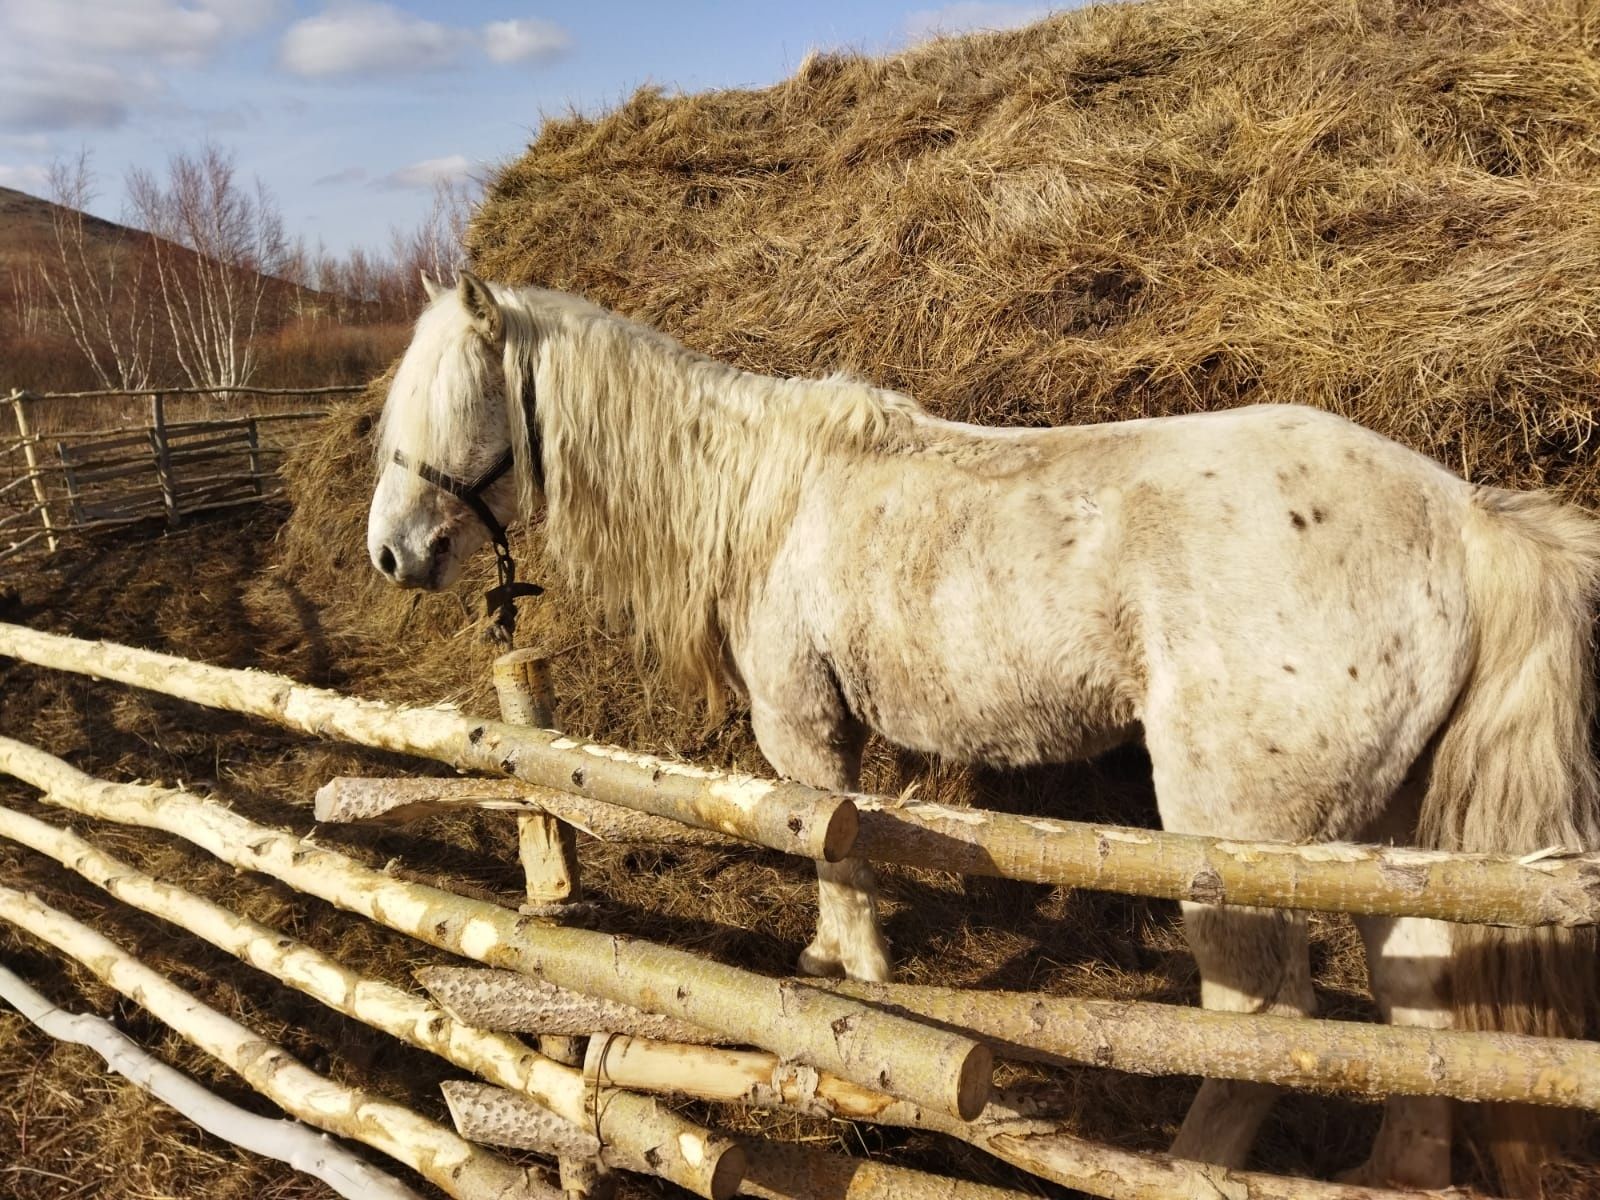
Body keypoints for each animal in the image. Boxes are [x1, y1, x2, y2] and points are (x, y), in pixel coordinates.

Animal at [366, 272, 1600, 1200]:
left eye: (441, 407)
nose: (391, 554)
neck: (770, 497)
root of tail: (1461, 520)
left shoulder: (802, 732)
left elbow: (832, 855)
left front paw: (854, 993)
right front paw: (828, 963)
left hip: (1235, 846)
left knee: (1260, 1027)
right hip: (1392, 842)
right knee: (1417, 1009)